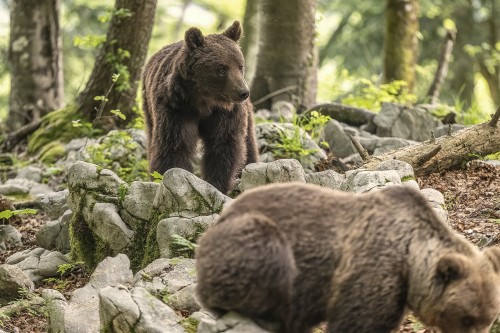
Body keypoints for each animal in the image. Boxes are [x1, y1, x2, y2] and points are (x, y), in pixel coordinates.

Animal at [141, 20, 258, 192]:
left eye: (240, 66)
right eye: (222, 69)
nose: (243, 92)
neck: (204, 99)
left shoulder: (224, 113)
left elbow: (223, 143)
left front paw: (216, 183)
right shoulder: (177, 108)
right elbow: (174, 144)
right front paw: (167, 176)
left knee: (248, 142)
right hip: (149, 106)